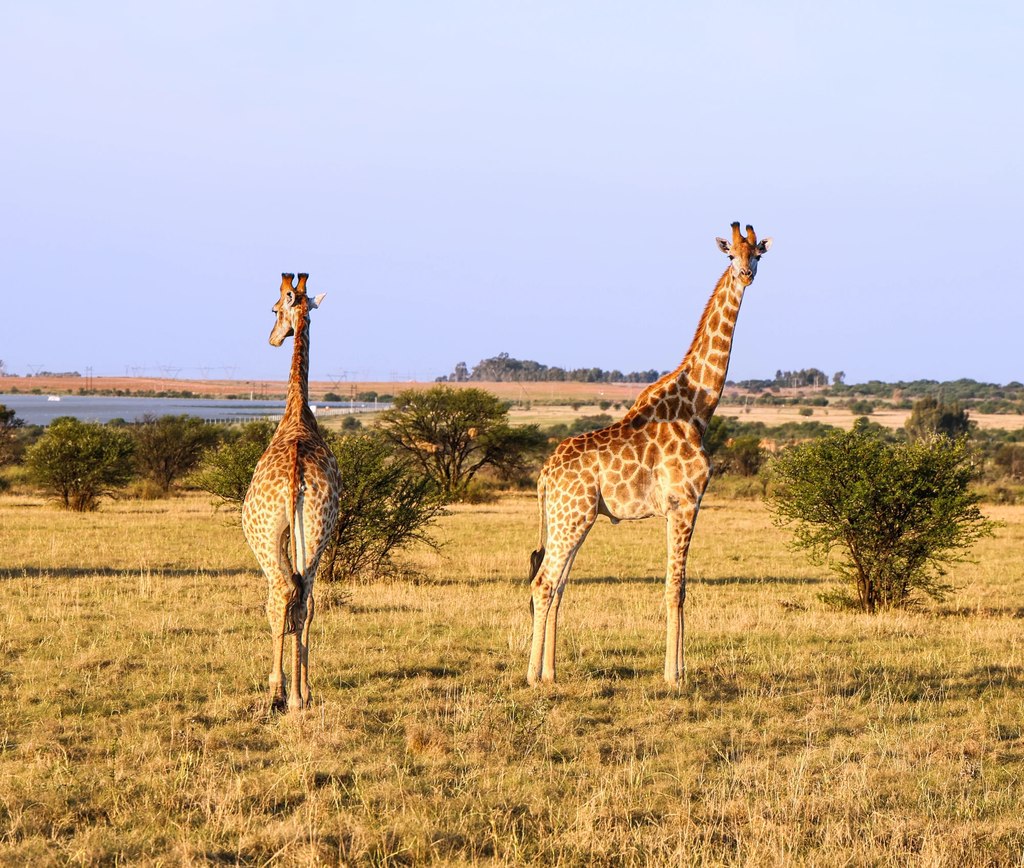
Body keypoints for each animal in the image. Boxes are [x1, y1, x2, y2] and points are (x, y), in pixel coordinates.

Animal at [527, 223, 772, 687]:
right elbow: (675, 587)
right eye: (730, 254)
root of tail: (546, 473)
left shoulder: (682, 506)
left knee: (557, 583)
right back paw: (533, 676)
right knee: (543, 583)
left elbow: (681, 586)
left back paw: (551, 672)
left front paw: (678, 669)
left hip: (572, 518)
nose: (746, 275)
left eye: (758, 255)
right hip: (573, 516)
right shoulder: (685, 502)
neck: (698, 408)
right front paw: (673, 675)